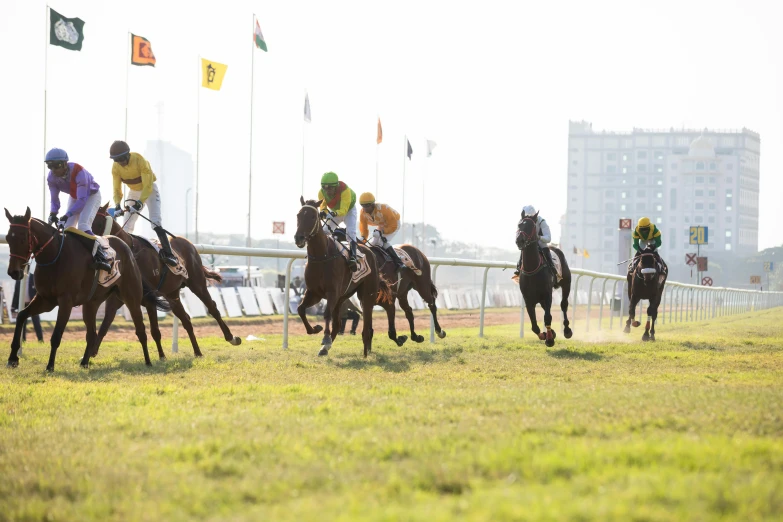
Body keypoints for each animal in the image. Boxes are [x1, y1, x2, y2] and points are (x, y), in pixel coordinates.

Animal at [4, 207, 156, 370]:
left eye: (23, 238)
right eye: (8, 238)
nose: (14, 272)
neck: (55, 256)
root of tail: (127, 247)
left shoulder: (65, 301)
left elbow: (56, 335)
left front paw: (50, 366)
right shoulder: (46, 299)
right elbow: (21, 316)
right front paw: (13, 358)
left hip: (131, 297)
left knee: (141, 330)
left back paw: (148, 361)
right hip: (91, 303)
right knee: (92, 334)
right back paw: (84, 362)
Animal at [90, 200, 240, 358]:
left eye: (97, 222)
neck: (131, 254)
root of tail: (188, 243)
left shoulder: (149, 298)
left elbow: (155, 330)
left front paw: (162, 356)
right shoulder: (117, 297)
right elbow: (105, 325)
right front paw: (91, 353)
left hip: (197, 284)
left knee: (212, 308)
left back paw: (231, 337)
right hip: (172, 294)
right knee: (186, 319)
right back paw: (197, 352)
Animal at [294, 197, 392, 356]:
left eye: (313, 216)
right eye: (298, 215)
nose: (299, 238)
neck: (322, 256)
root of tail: (370, 251)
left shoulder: (332, 292)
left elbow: (326, 313)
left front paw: (325, 338)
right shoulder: (314, 292)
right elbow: (301, 309)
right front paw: (315, 329)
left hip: (366, 295)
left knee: (367, 322)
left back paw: (366, 352)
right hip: (342, 297)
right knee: (338, 323)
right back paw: (325, 349)